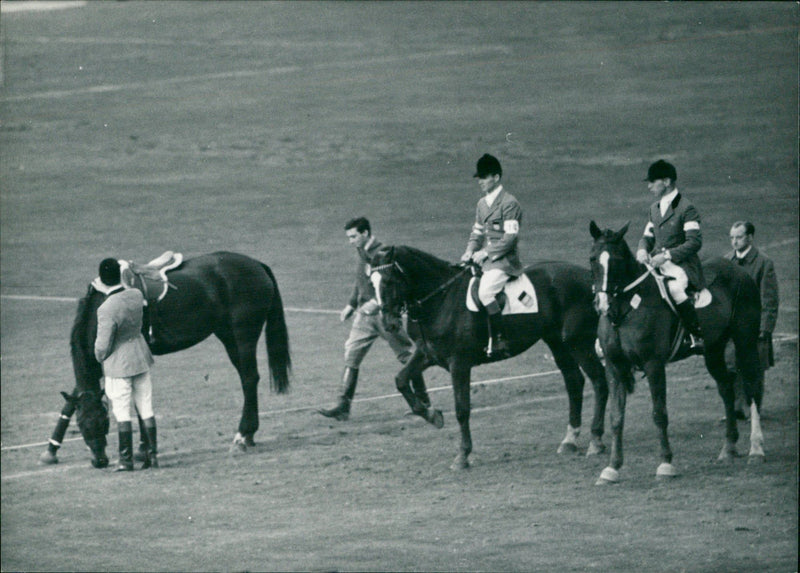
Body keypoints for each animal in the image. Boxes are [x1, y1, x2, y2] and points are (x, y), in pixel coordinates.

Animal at [40, 248, 290, 466]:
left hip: (243, 335)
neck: (105, 300)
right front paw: (51, 450)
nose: (100, 461)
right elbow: (70, 403)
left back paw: (241, 436)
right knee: (248, 379)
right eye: (82, 425)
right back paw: (248, 435)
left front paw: (143, 448)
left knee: (249, 379)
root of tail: (257, 264)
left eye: (105, 422)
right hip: (228, 336)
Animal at [588, 221, 764, 484]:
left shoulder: (653, 364)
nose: (602, 304)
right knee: (726, 387)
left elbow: (659, 414)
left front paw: (665, 464)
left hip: (746, 342)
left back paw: (756, 449)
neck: (625, 310)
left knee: (752, 388)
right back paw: (729, 448)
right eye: (592, 259)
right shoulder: (614, 366)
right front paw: (612, 468)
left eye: (617, 260)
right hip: (713, 349)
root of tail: (739, 271)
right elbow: (616, 416)